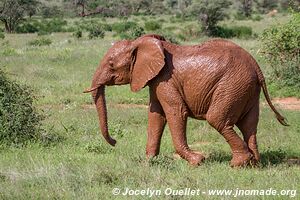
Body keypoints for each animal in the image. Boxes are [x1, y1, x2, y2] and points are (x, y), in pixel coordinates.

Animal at [84, 34, 288, 167]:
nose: (115, 142)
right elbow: (156, 115)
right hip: (247, 89)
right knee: (249, 125)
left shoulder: (166, 80)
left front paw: (197, 161)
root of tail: (256, 66)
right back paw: (254, 164)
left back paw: (238, 164)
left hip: (232, 85)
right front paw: (149, 162)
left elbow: (175, 112)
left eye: (111, 64)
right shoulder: (156, 80)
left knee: (217, 119)